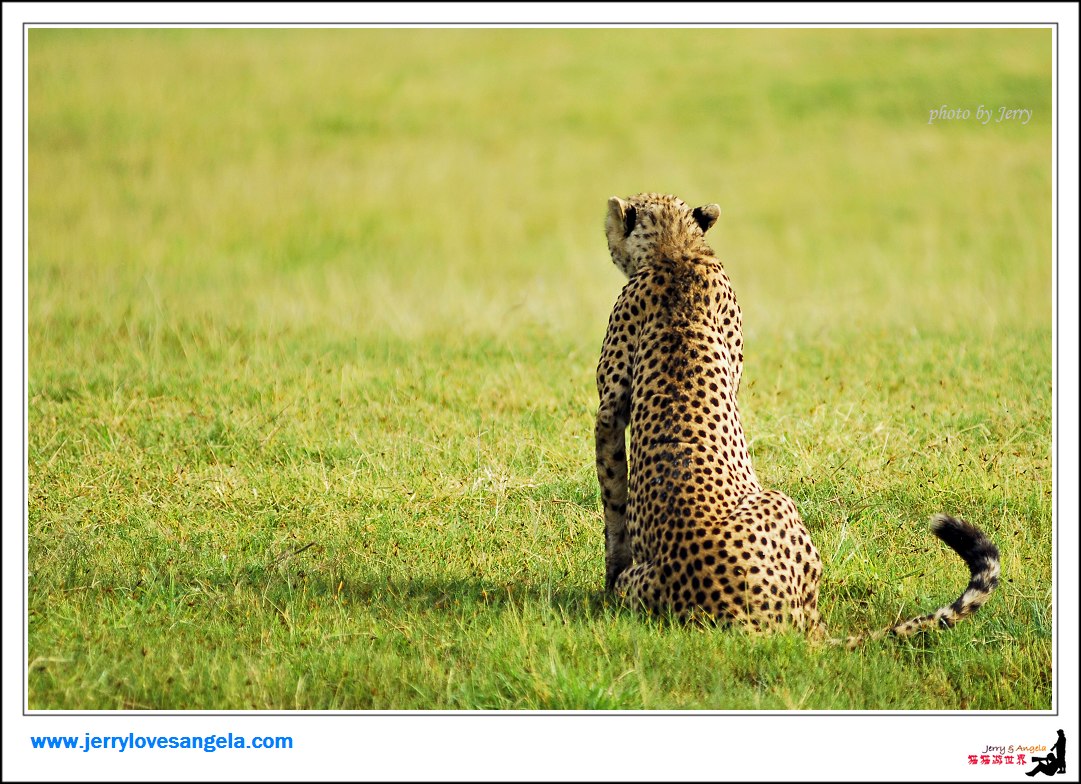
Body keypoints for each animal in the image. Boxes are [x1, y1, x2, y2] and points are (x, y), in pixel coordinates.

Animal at [596, 192, 998, 644]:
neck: (675, 250)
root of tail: (768, 621)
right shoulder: (611, 408)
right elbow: (613, 496)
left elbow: (613, 495)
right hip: (779, 507)